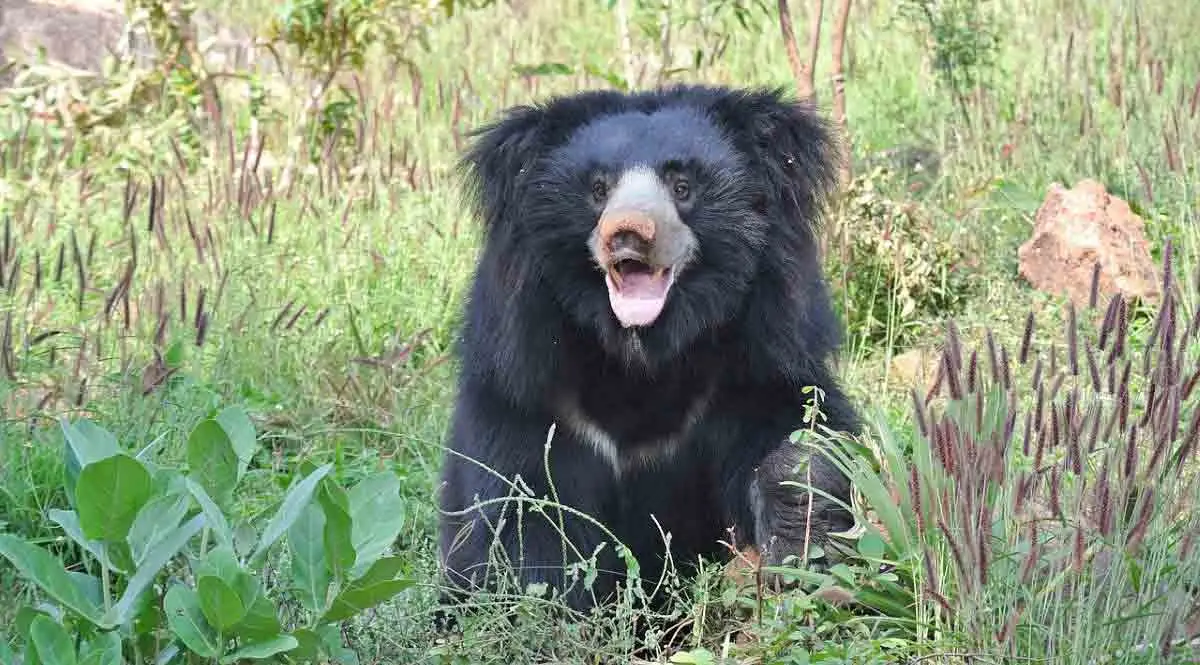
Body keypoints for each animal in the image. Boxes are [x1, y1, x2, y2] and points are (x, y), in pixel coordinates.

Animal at [436, 84, 859, 614]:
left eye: (682, 187)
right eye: (598, 189)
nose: (628, 233)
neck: (642, 355)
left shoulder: (756, 361)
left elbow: (797, 424)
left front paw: (799, 516)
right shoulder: (524, 391)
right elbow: (522, 513)